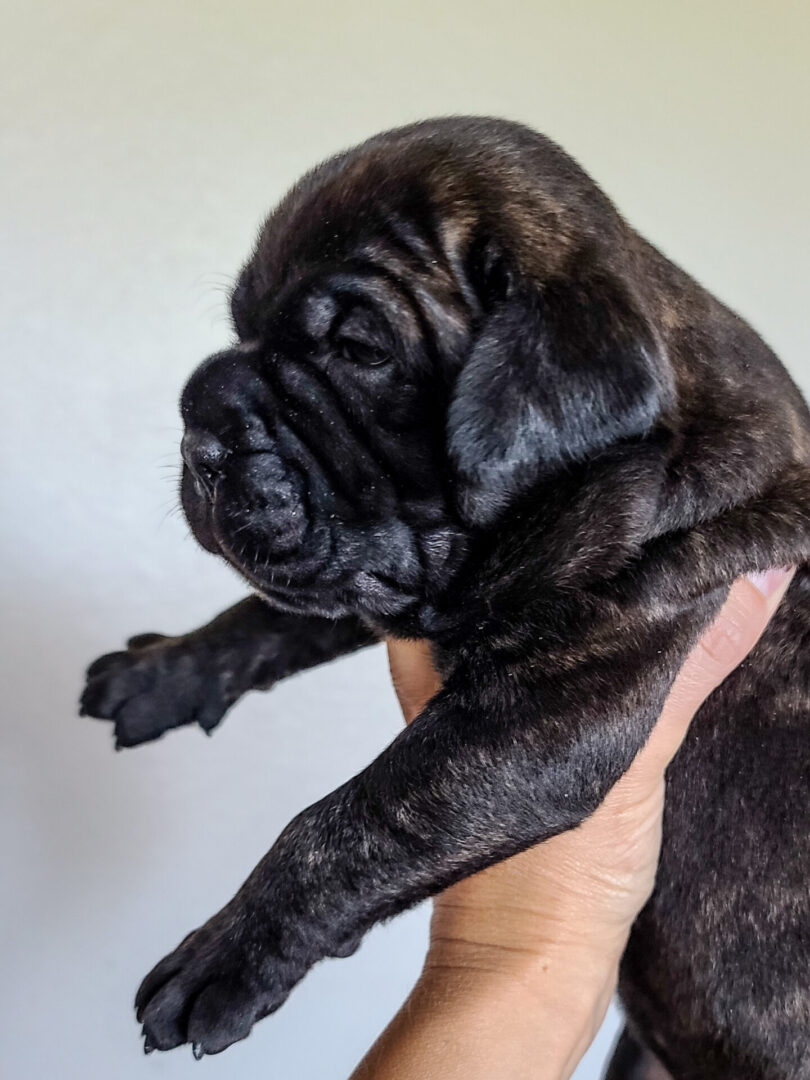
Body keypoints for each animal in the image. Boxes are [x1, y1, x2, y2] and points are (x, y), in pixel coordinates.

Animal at [81, 113, 810, 1075]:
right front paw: (162, 672)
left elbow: (354, 818)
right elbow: (267, 618)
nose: (198, 432)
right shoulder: (389, 579)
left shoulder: (545, 720)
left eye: (359, 351)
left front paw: (225, 954)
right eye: (239, 326)